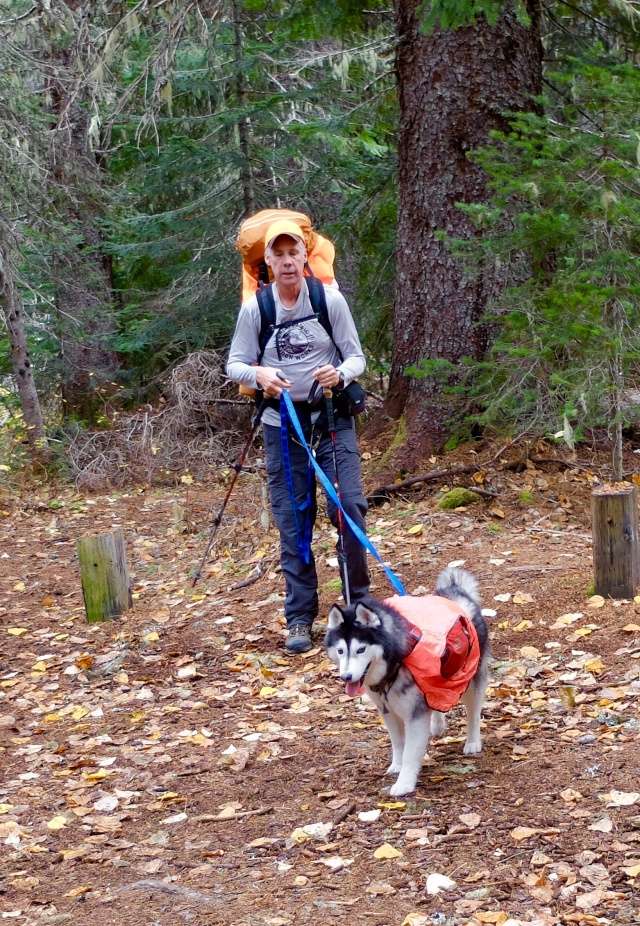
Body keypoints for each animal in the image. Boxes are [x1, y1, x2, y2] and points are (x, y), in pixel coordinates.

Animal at [324, 564, 490, 796]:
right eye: (340, 651)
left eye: (361, 649)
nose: (346, 677)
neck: (395, 662)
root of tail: (454, 591)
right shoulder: (387, 711)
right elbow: (398, 744)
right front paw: (397, 765)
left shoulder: (414, 715)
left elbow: (411, 752)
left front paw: (404, 783)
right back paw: (437, 725)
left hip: (470, 678)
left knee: (473, 713)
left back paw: (472, 742)